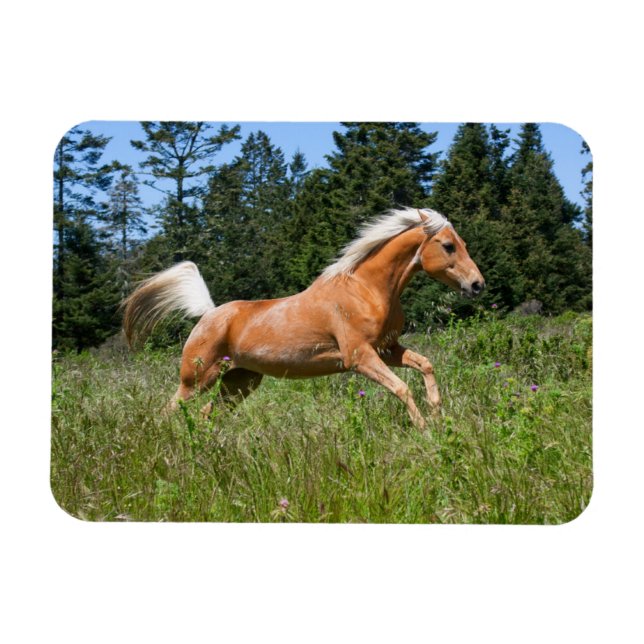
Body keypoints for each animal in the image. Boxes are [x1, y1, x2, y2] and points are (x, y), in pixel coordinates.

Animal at [123, 207, 485, 429]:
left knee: (206, 414)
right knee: (171, 411)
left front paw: (438, 415)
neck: (366, 289)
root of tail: (209, 313)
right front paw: (424, 430)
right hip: (196, 380)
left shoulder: (387, 349)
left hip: (239, 383)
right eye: (448, 246)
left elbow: (425, 366)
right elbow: (402, 389)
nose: (477, 285)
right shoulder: (360, 357)